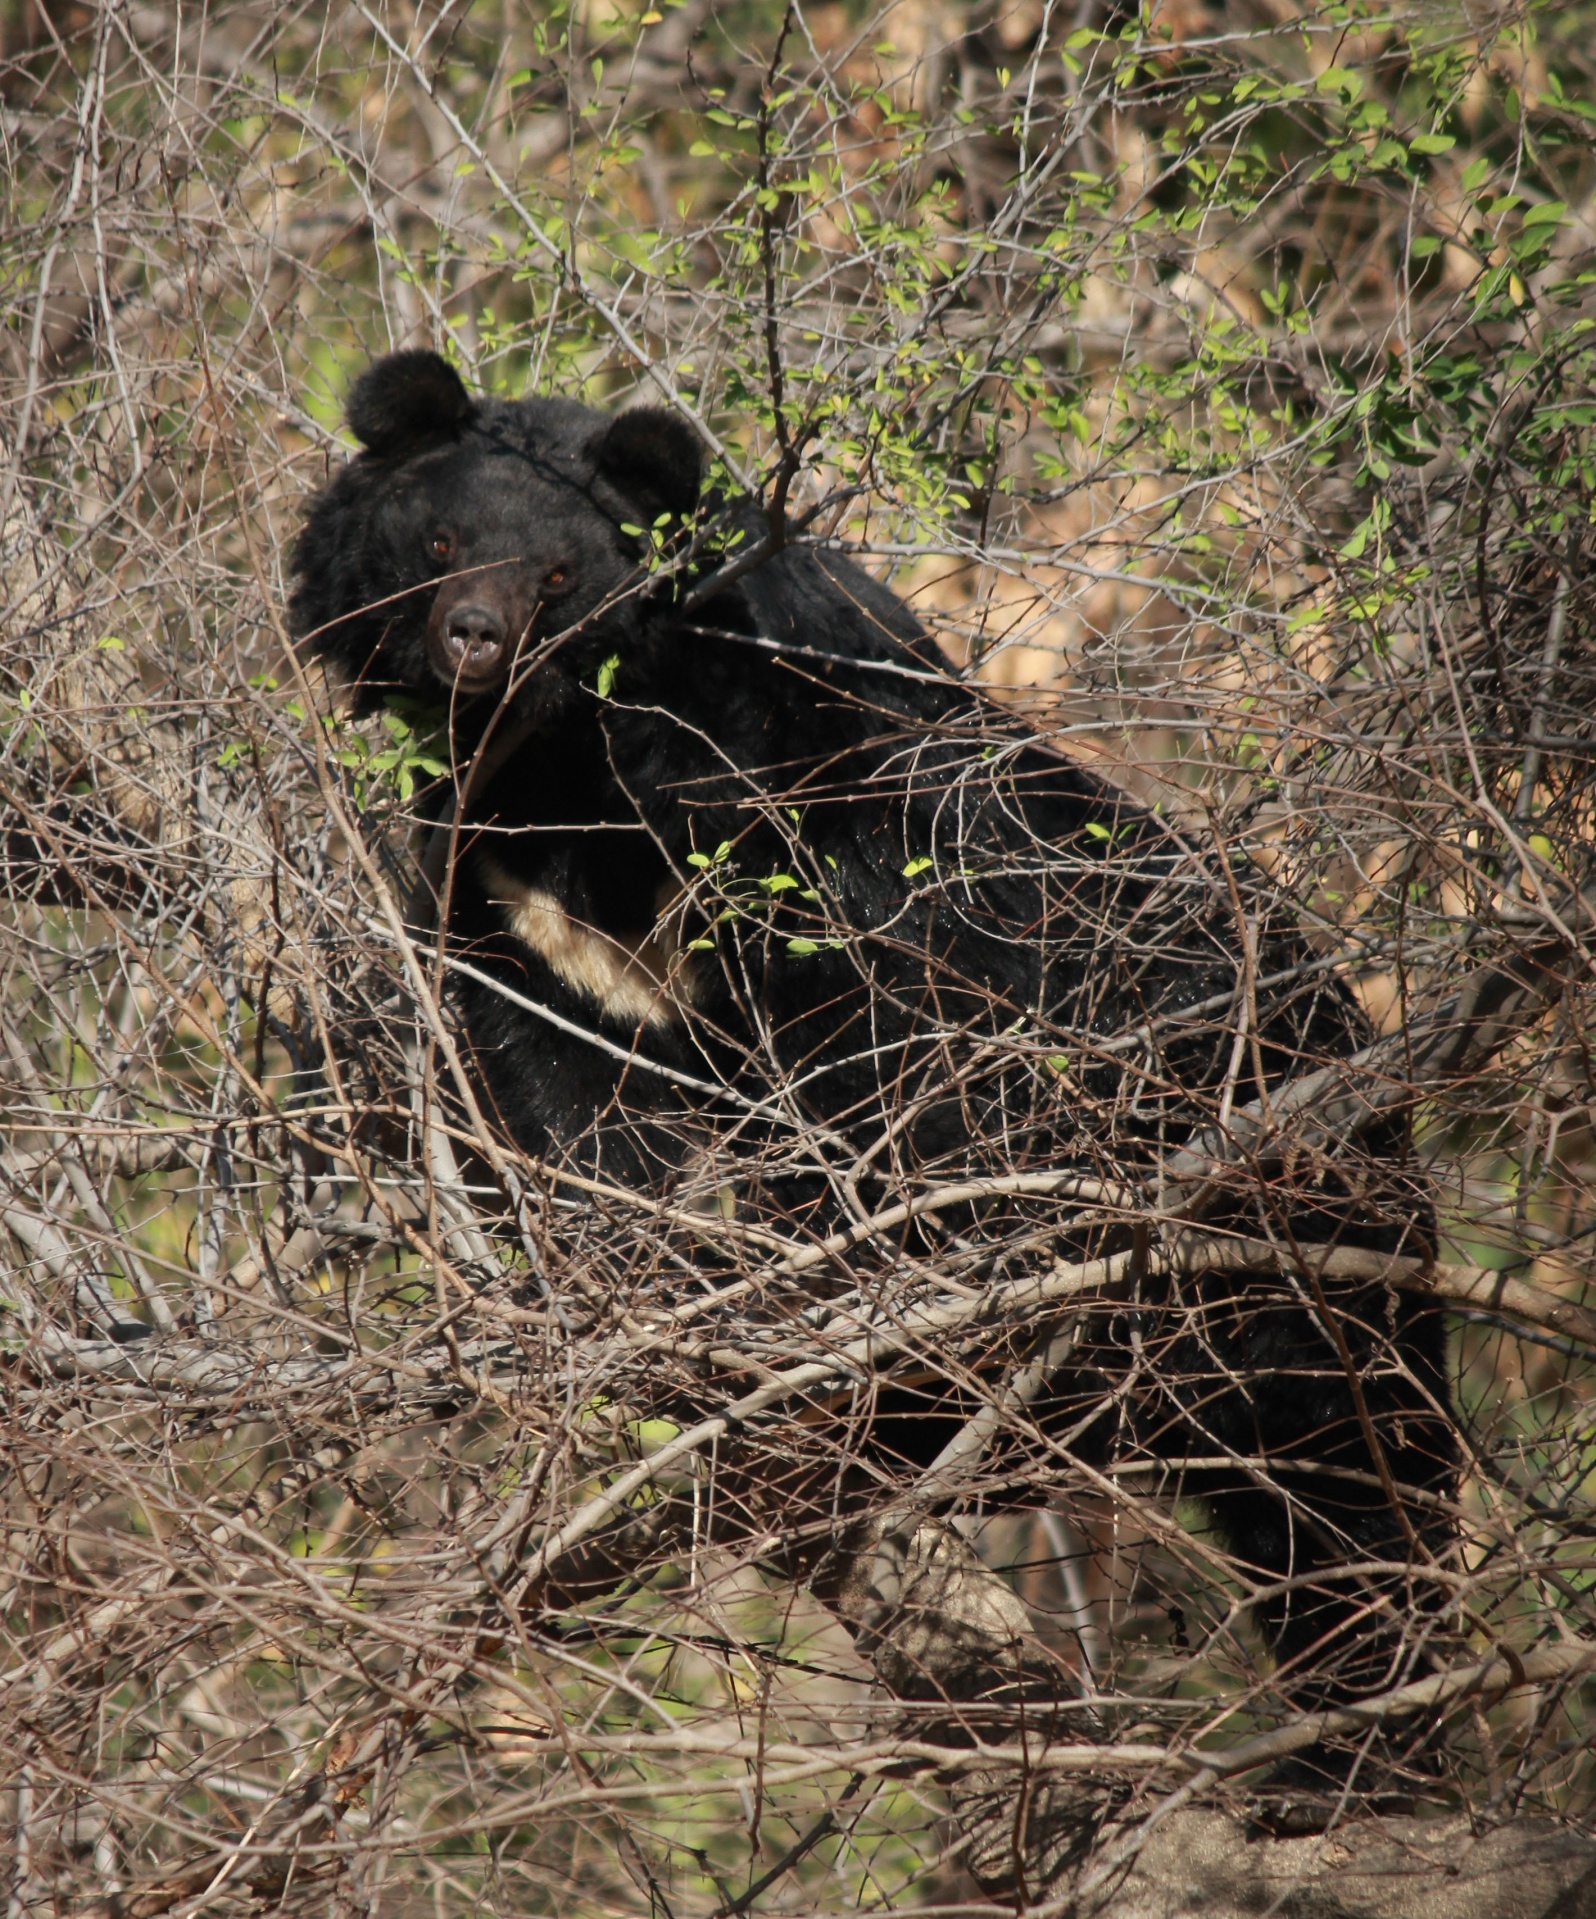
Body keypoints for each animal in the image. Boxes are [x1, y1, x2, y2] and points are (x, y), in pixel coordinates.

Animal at [295, 349, 1457, 1742]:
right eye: (440, 541)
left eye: (563, 577)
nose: (475, 639)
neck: (574, 761)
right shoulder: (510, 895)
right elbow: (572, 1092)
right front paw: (662, 1298)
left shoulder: (822, 837)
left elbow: (882, 1057)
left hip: (1292, 1253)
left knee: (1359, 1490)